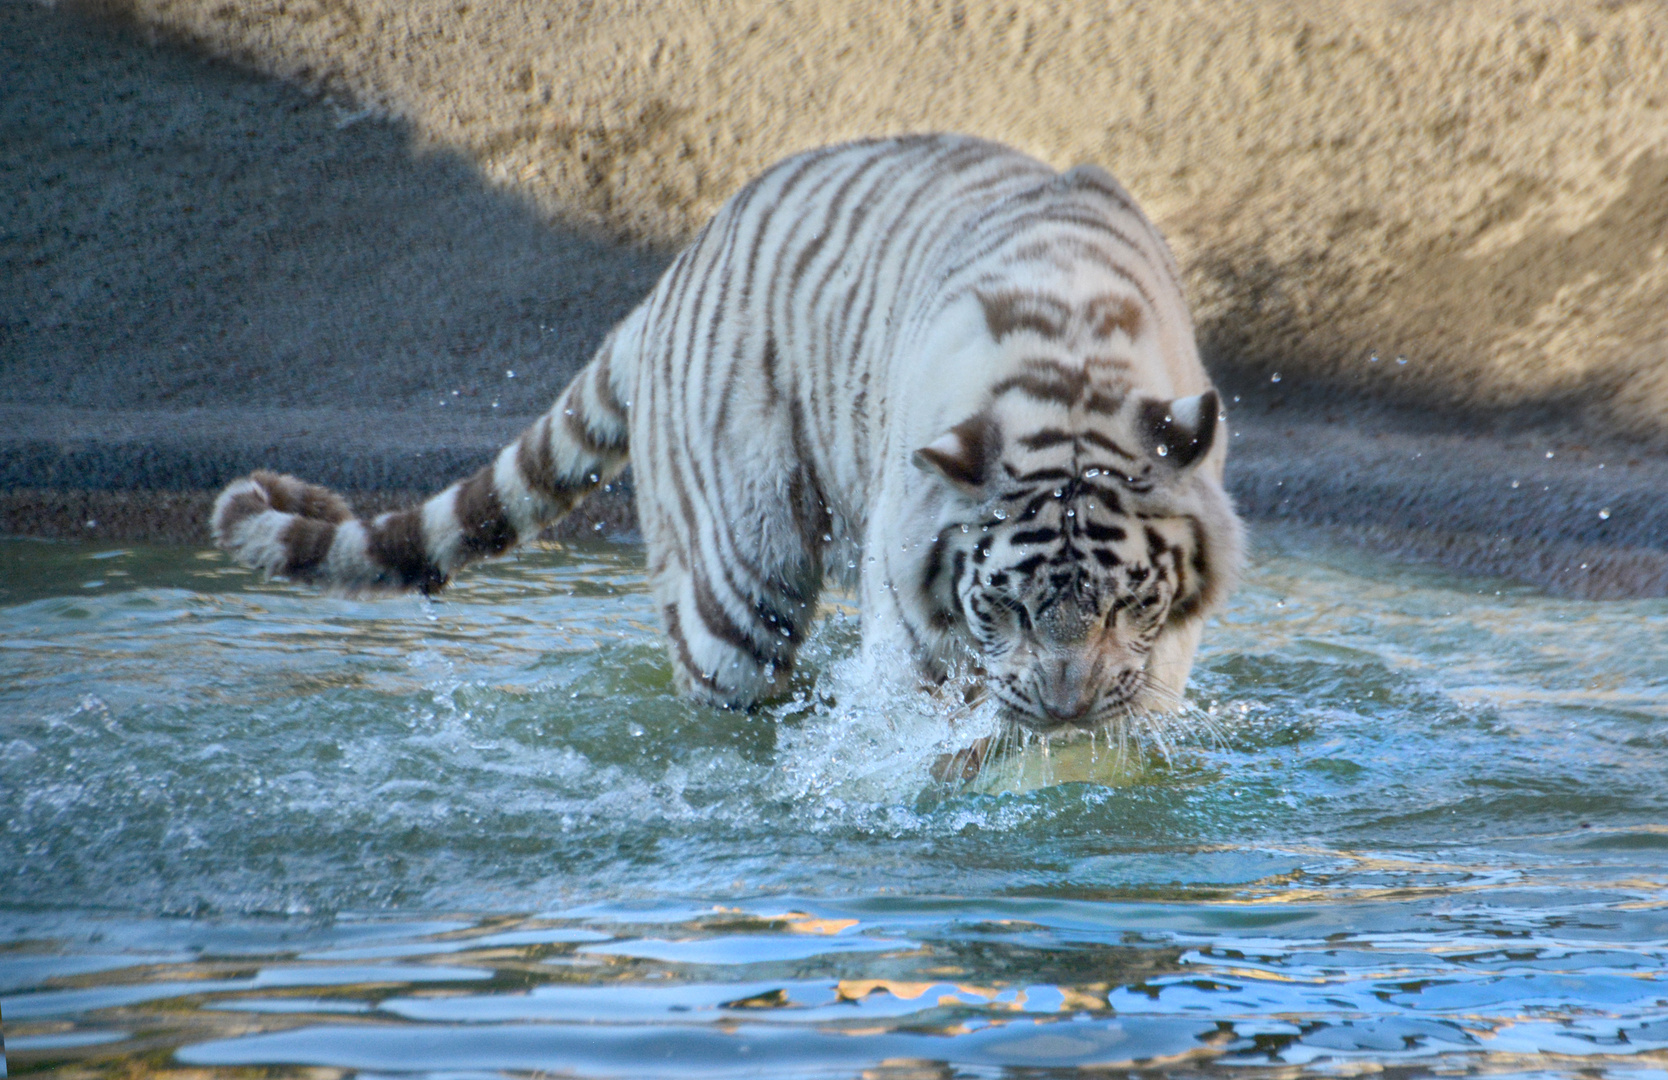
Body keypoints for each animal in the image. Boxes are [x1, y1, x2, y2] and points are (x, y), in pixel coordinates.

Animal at [215, 131, 1240, 731]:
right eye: (1009, 607)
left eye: (1128, 604)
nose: (1066, 714)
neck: (1071, 371)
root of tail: (671, 279)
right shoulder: (908, 592)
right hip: (736, 584)